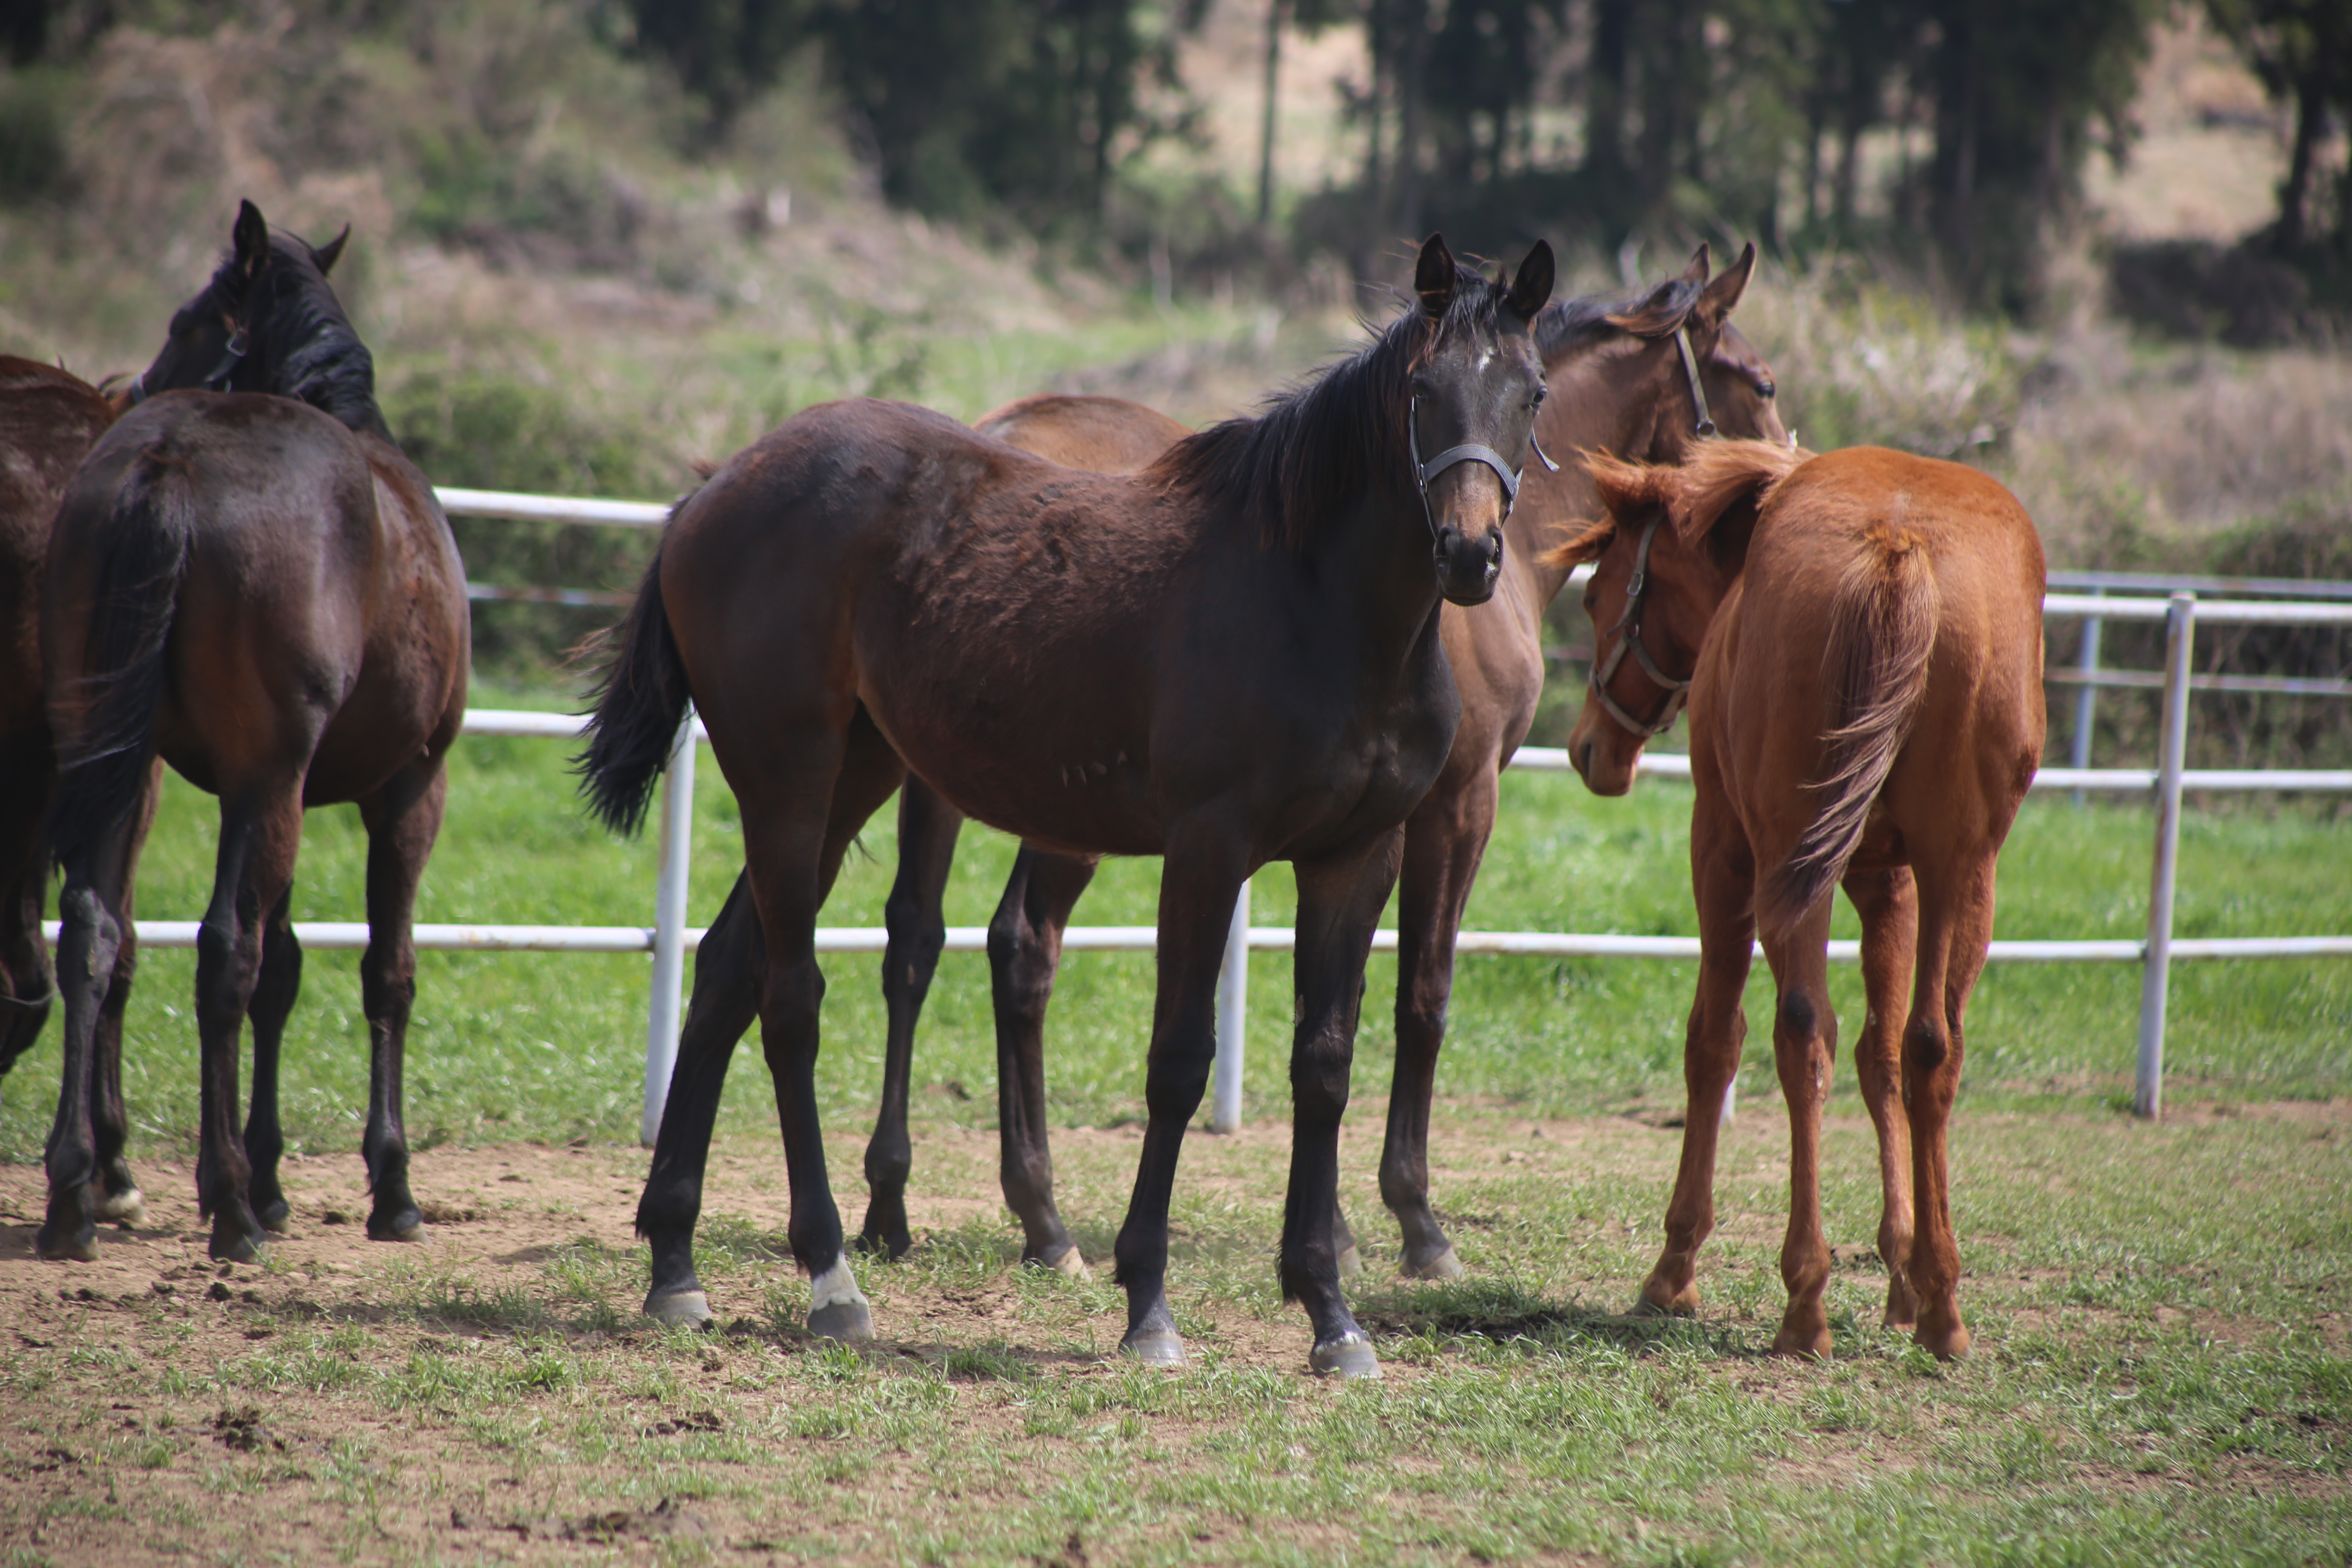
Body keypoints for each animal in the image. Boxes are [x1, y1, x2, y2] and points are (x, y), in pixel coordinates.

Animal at [39, 205, 470, 1260]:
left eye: (189, 322)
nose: (132, 386)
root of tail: (170, 462)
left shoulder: (288, 790)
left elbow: (287, 970)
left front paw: (277, 1177)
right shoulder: (407, 787)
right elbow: (383, 971)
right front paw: (389, 1186)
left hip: (131, 765)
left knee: (95, 934)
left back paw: (75, 1194)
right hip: (266, 782)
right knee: (222, 950)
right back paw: (228, 1202)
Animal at [626, 252, 1778, 1316]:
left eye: (1530, 392)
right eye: (1419, 391)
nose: (1468, 553)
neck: (1321, 600)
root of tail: (715, 485)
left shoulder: (1355, 844)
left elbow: (1329, 1045)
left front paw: (1330, 1270)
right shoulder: (1370, 821)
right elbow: (1375, 1010)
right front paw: (1397, 1229)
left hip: (861, 777)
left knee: (747, 961)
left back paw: (692, 1249)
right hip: (802, 777)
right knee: (813, 988)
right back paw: (851, 1262)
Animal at [1543, 442, 2041, 1363]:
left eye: (1597, 596)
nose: (1590, 747)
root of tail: (1898, 544)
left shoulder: (1722, 851)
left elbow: (1715, 1041)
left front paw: (1675, 1267)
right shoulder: (1892, 882)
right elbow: (1886, 1057)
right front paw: (1902, 1276)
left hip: (1782, 856)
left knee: (1801, 1030)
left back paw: (1804, 1299)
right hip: (1962, 870)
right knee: (1932, 1045)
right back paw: (1943, 1307)